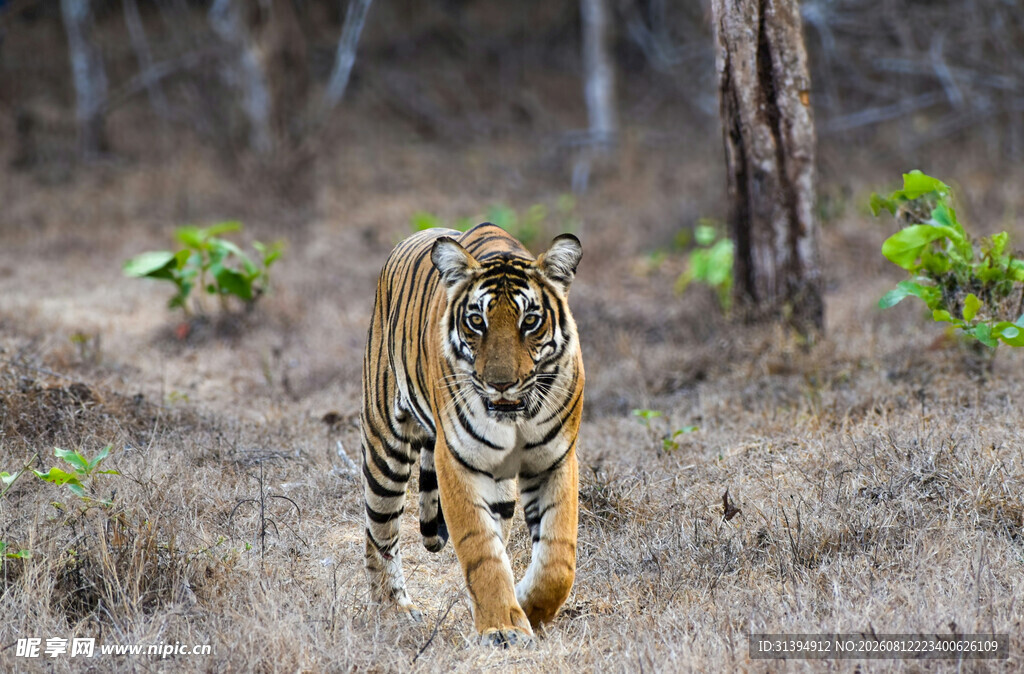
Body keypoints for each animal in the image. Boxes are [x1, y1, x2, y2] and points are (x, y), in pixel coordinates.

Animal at [360, 222, 584, 647]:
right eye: (477, 321)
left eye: (530, 321)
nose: (501, 384)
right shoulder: (458, 461)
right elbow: (480, 549)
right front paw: (502, 626)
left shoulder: (554, 459)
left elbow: (557, 559)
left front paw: (528, 606)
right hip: (384, 450)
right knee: (379, 535)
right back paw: (395, 611)